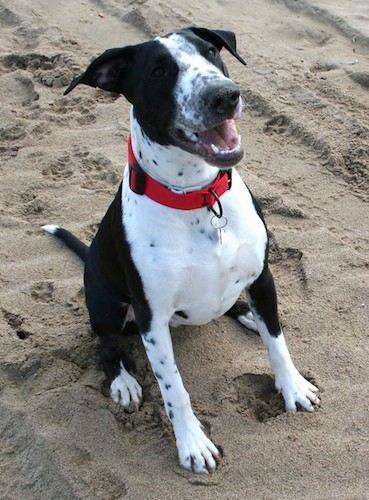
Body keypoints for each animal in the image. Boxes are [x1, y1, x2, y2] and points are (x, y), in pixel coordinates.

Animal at [42, 26, 320, 472]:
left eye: (210, 52)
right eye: (158, 72)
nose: (224, 96)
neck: (200, 199)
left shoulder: (263, 277)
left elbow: (277, 342)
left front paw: (293, 386)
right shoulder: (152, 319)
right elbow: (174, 389)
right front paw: (192, 443)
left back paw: (244, 314)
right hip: (106, 302)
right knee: (106, 344)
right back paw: (122, 381)